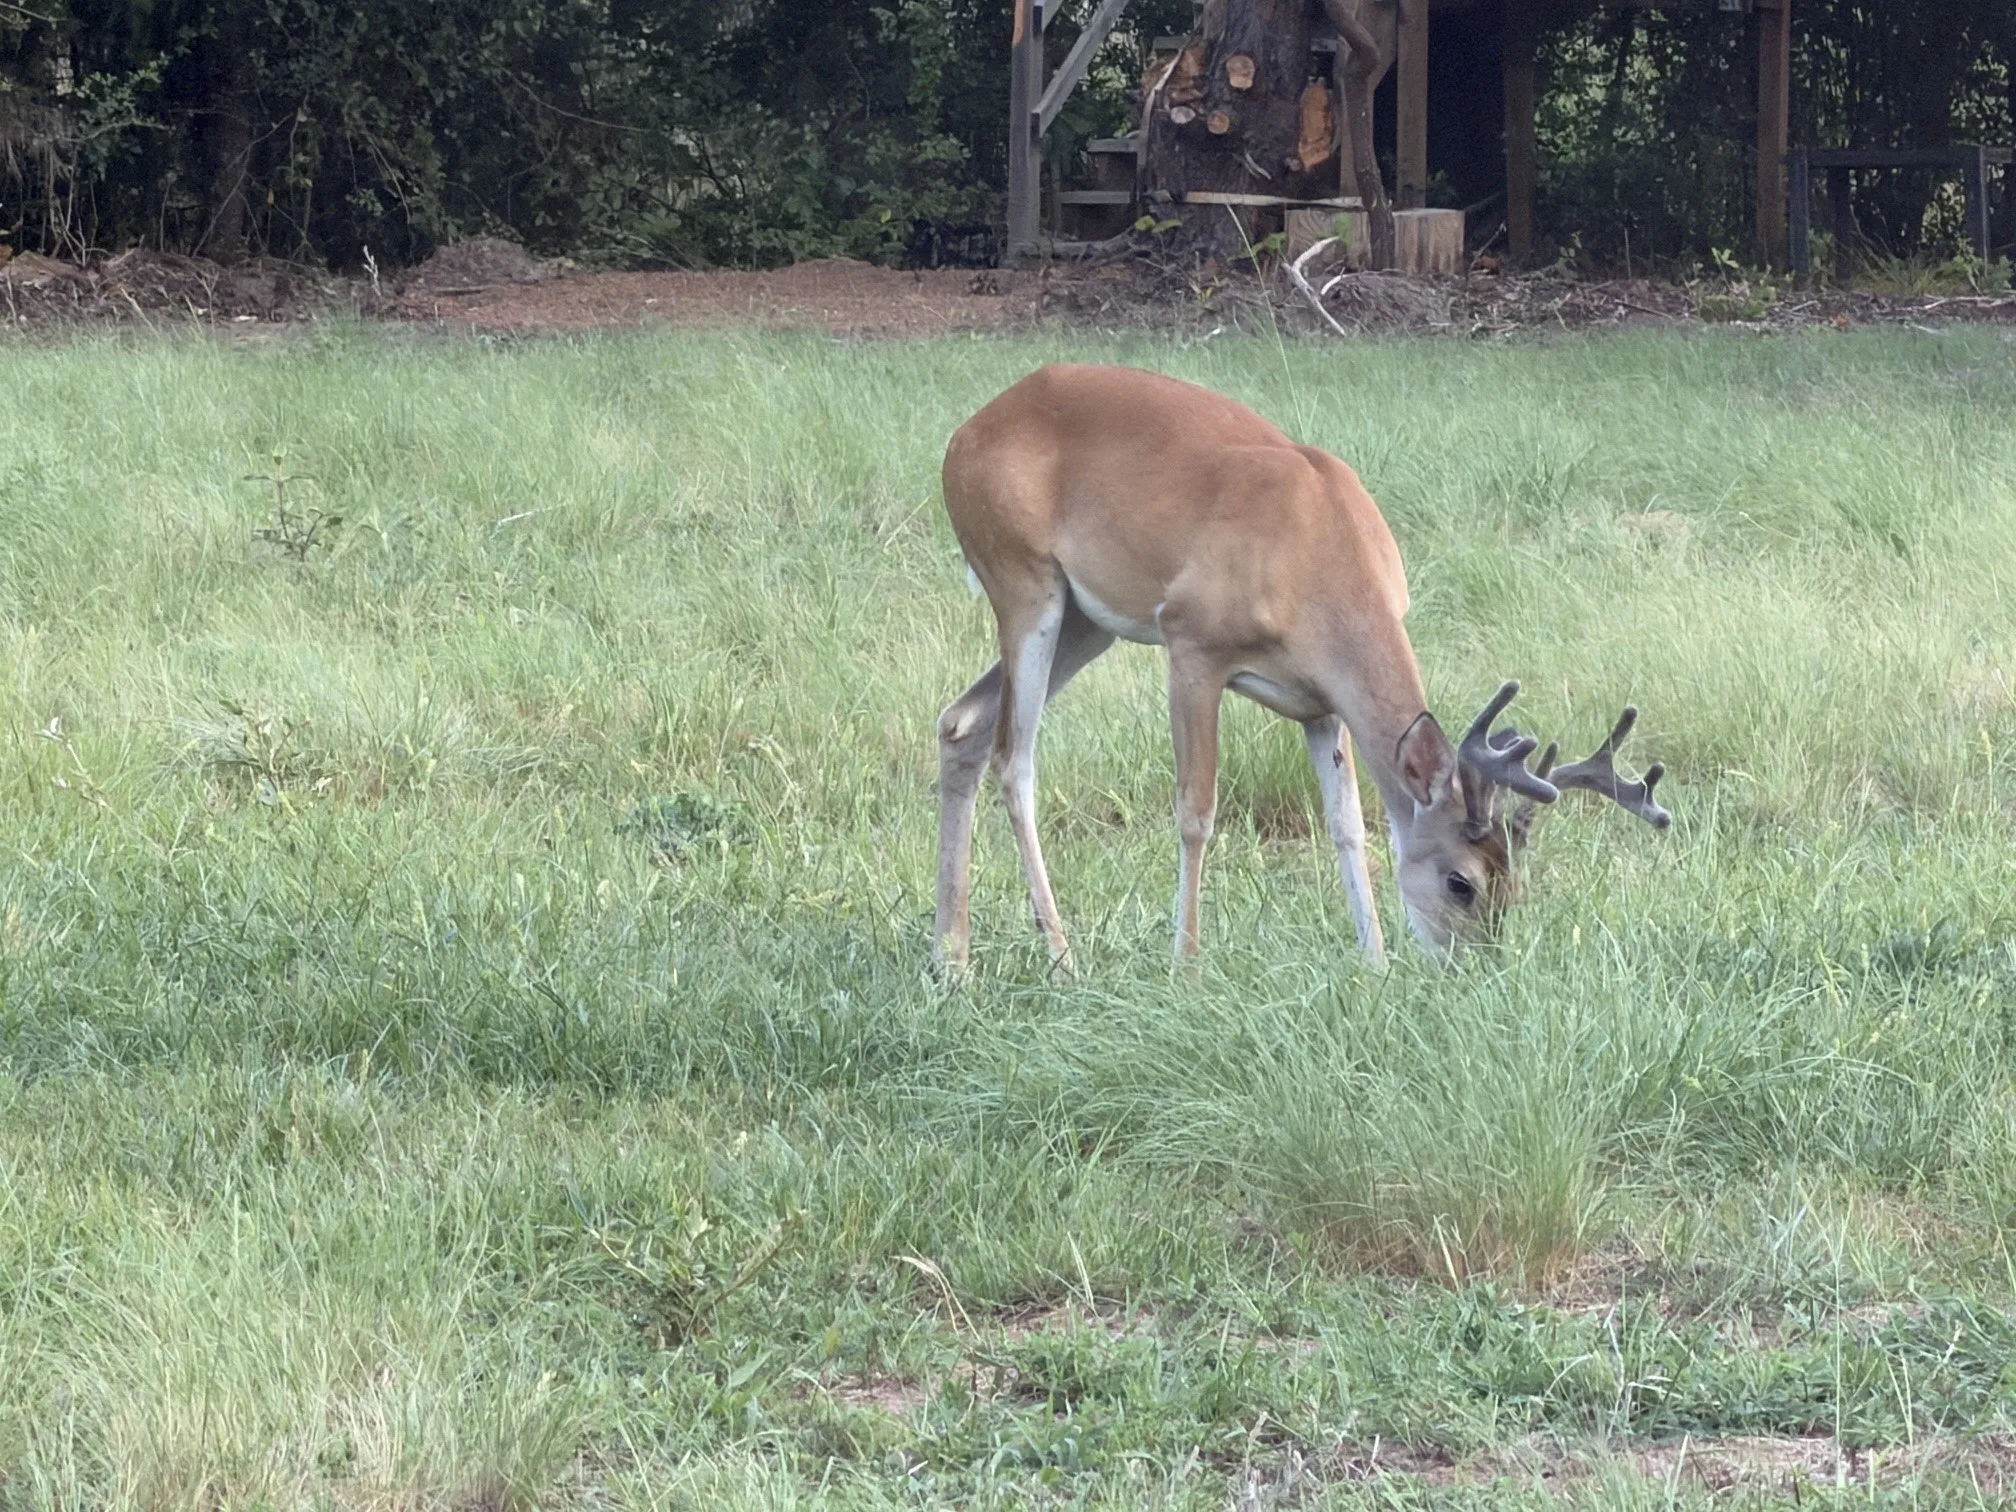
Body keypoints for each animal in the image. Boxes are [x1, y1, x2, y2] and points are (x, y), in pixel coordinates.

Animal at [932, 364, 1669, 973]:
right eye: (1461, 882)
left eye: (1515, 884)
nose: (1473, 973)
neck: (1317, 564)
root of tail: (963, 436)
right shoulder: (1192, 643)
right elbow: (1196, 811)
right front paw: (1186, 971)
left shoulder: (1321, 703)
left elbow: (1348, 826)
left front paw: (1374, 967)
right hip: (1020, 575)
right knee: (1015, 759)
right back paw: (1061, 959)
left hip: (1087, 621)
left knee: (961, 723)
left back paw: (953, 961)